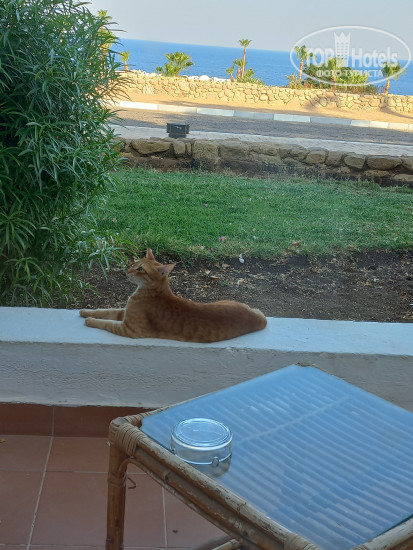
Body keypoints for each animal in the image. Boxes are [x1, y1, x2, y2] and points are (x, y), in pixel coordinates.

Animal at [80, 248, 267, 342]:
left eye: (141, 269)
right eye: (134, 263)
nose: (127, 270)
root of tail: (258, 318)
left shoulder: (129, 329)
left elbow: (106, 323)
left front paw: (90, 321)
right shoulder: (123, 312)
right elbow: (104, 311)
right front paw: (85, 312)